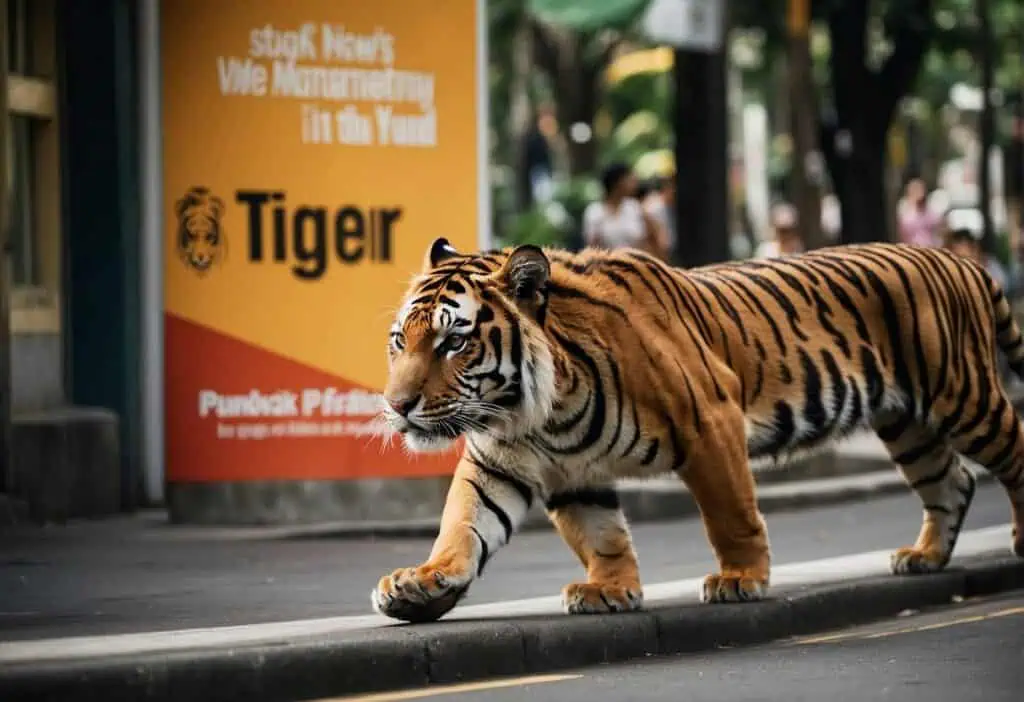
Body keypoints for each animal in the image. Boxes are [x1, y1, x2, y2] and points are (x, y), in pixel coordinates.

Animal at [370, 237, 1024, 623]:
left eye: (453, 342)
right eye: (400, 340)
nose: (398, 405)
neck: (542, 410)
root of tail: (958, 256)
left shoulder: (710, 420)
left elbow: (729, 512)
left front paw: (741, 579)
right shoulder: (520, 464)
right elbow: (480, 525)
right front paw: (421, 584)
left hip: (963, 397)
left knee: (1011, 454)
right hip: (907, 422)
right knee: (952, 482)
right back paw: (923, 556)